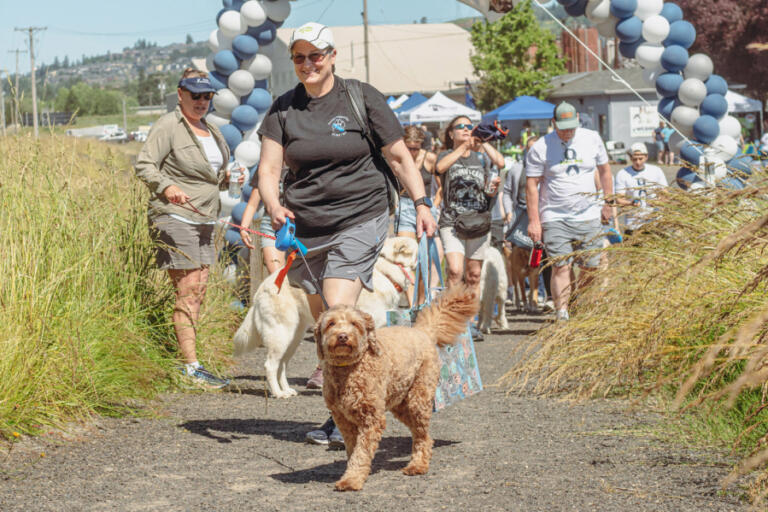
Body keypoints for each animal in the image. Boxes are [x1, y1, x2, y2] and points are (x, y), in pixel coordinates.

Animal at [232, 238, 420, 398]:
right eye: (417, 253)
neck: (385, 270)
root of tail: (261, 288)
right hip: (281, 335)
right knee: (270, 365)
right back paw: (278, 393)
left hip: (293, 338)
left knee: (282, 365)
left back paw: (286, 389)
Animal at [316, 286, 476, 490]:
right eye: (331, 323)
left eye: (354, 324)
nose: (343, 336)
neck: (350, 370)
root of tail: (422, 332)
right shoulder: (343, 419)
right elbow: (353, 449)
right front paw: (351, 475)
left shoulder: (372, 419)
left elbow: (361, 452)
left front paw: (352, 479)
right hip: (400, 403)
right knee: (423, 435)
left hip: (418, 399)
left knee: (422, 435)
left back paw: (418, 465)